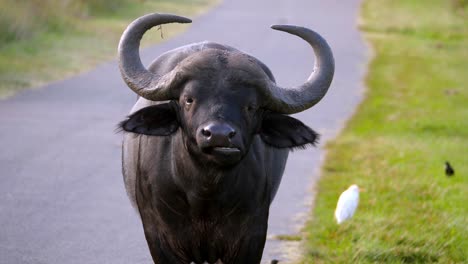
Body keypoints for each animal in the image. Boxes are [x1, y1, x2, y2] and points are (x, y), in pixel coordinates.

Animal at [119, 13, 334, 264]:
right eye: (188, 99)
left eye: (251, 106)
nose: (219, 134)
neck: (204, 192)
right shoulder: (159, 238)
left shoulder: (251, 236)